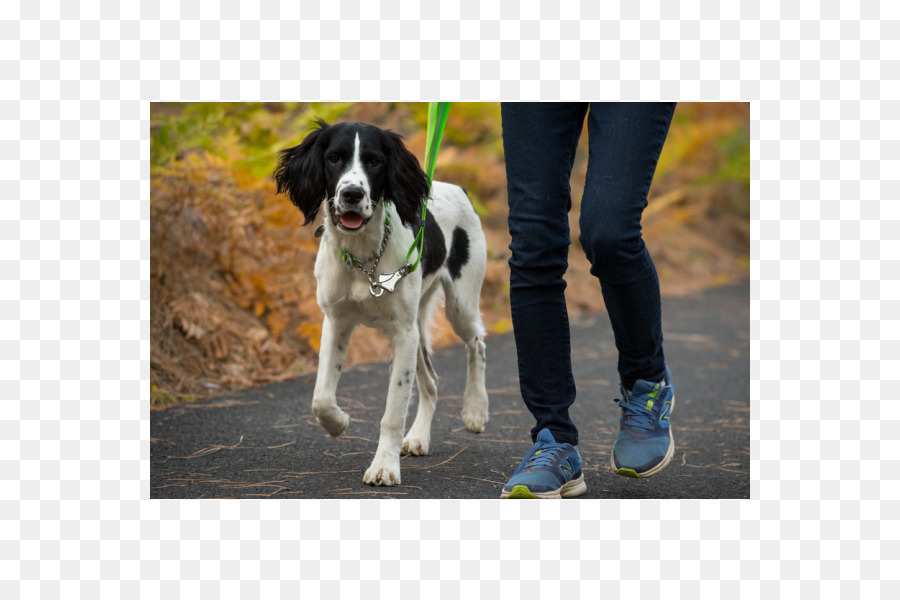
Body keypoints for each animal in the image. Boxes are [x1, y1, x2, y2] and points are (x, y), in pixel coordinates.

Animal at [272, 118, 488, 488]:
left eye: (374, 161)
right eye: (334, 158)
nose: (352, 194)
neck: (363, 257)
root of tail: (456, 187)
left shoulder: (402, 333)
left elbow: (392, 412)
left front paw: (384, 467)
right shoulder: (336, 322)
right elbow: (321, 398)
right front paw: (338, 422)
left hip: (458, 306)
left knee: (476, 343)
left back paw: (475, 409)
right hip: (417, 328)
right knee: (431, 382)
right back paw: (418, 437)